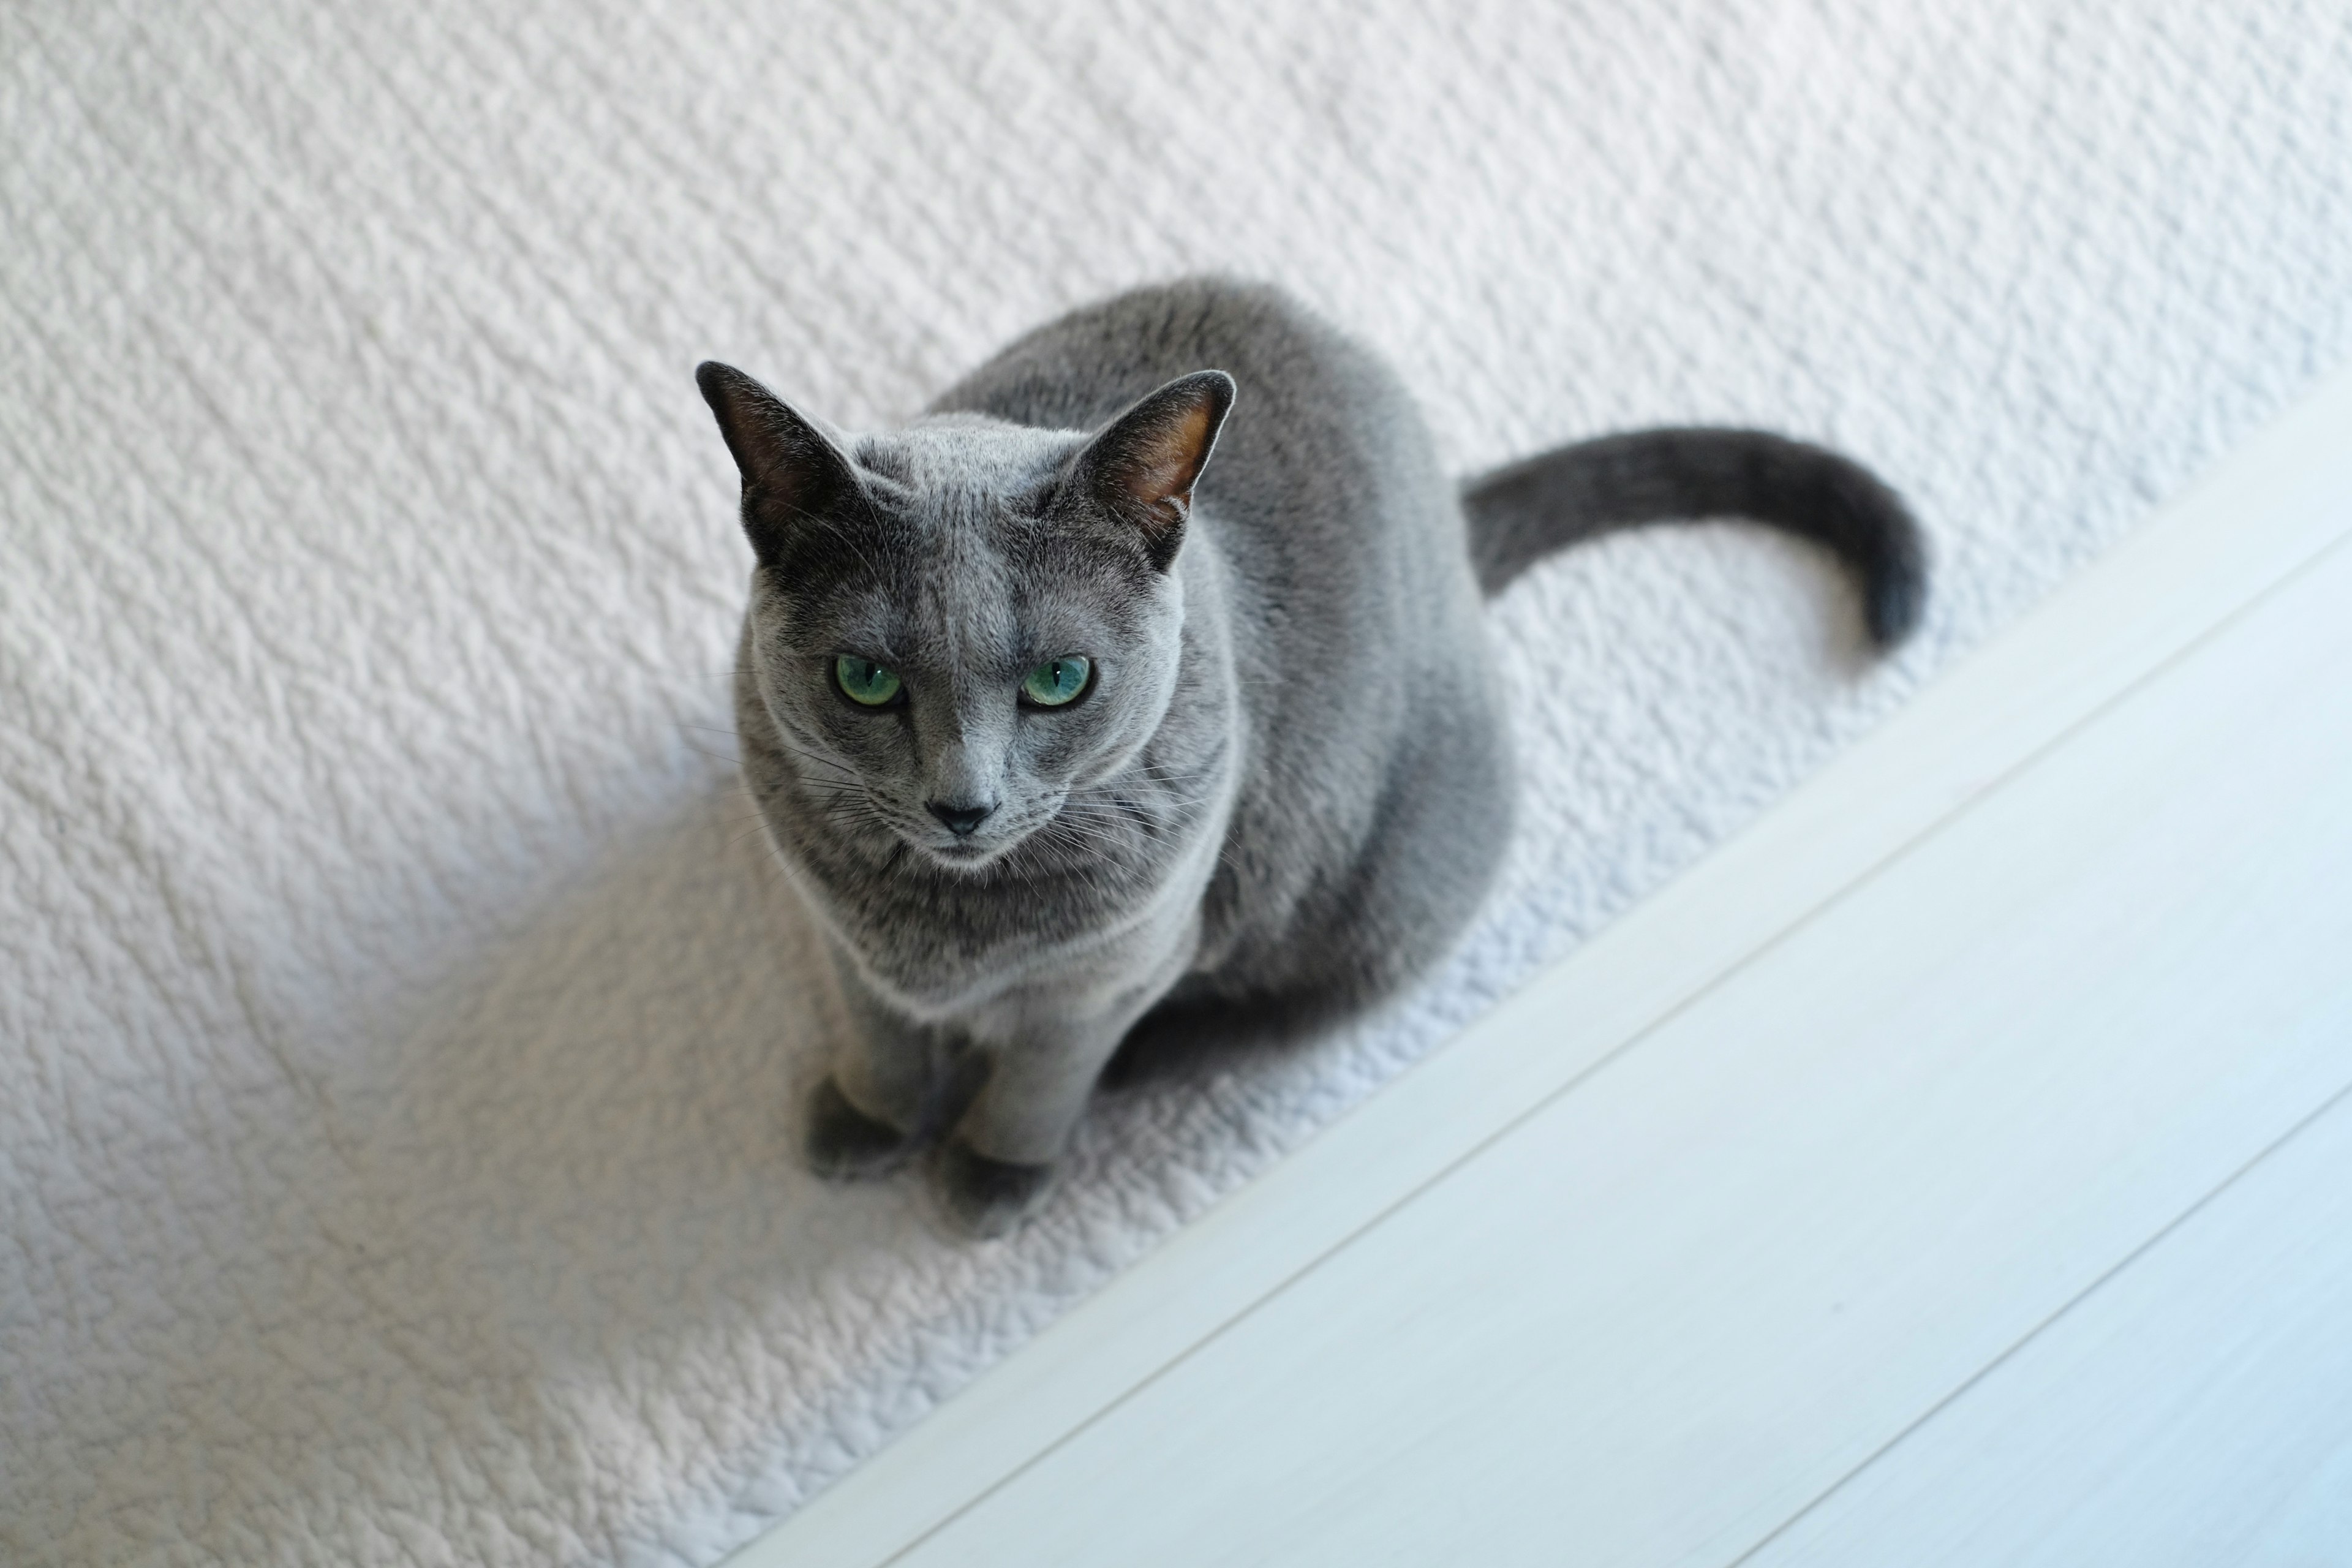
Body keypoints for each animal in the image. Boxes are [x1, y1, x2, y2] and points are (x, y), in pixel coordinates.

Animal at [691, 278, 1910, 1241]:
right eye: (865, 681)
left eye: (1061, 681)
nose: (963, 803)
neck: (943, 923)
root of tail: (1450, 524)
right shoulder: (837, 934)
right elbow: (879, 1036)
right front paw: (870, 1121)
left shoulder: (1118, 966)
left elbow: (1042, 1074)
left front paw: (990, 1175)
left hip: (1385, 898)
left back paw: (1146, 1064)